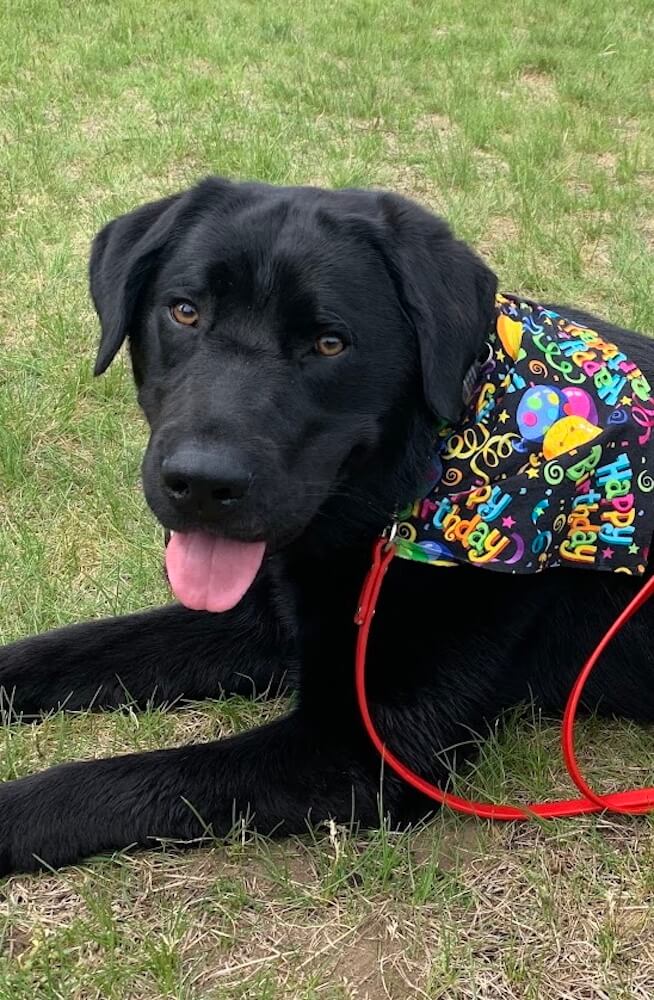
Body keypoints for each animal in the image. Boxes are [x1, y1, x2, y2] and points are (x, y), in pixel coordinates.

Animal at [1, 180, 654, 876]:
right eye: (184, 312)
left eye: (330, 344)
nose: (201, 483)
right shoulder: (267, 618)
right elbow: (62, 651)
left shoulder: (363, 746)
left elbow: (114, 781)